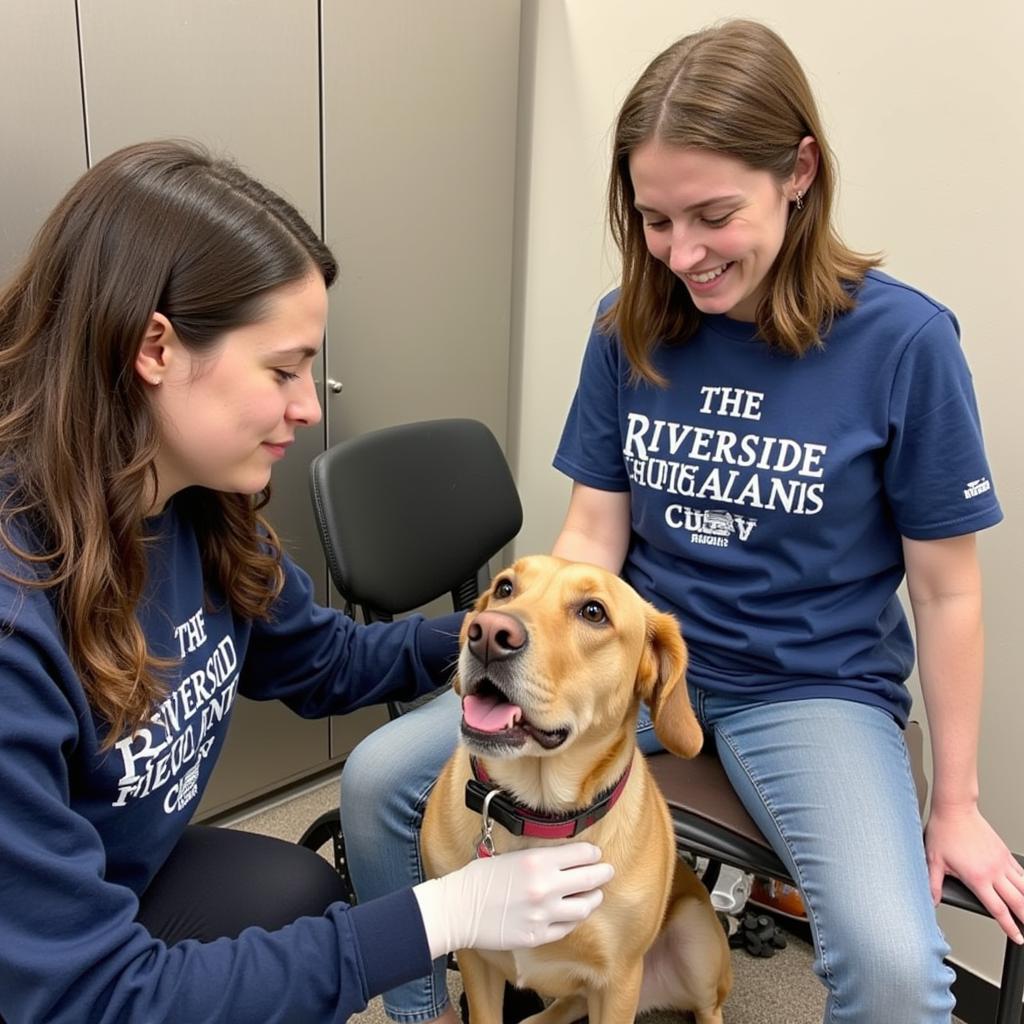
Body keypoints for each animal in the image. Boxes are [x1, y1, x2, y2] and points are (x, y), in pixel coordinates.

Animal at [419, 557, 733, 1024]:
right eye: (505, 588)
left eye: (593, 612)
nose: (488, 632)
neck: (536, 815)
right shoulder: (476, 958)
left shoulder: (618, 982)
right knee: (571, 1001)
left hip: (695, 937)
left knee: (708, 1006)